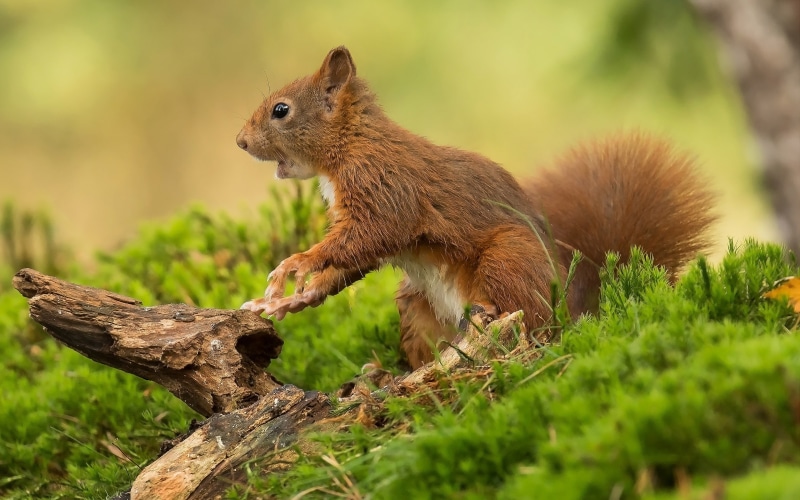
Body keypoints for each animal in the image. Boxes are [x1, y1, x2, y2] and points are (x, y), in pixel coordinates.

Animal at [235, 46, 716, 369]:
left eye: (281, 110)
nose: (240, 141)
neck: (350, 145)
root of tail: (574, 313)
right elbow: (353, 262)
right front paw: (289, 301)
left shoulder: (386, 189)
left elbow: (369, 235)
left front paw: (296, 264)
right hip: (417, 307)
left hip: (507, 258)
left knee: (531, 322)